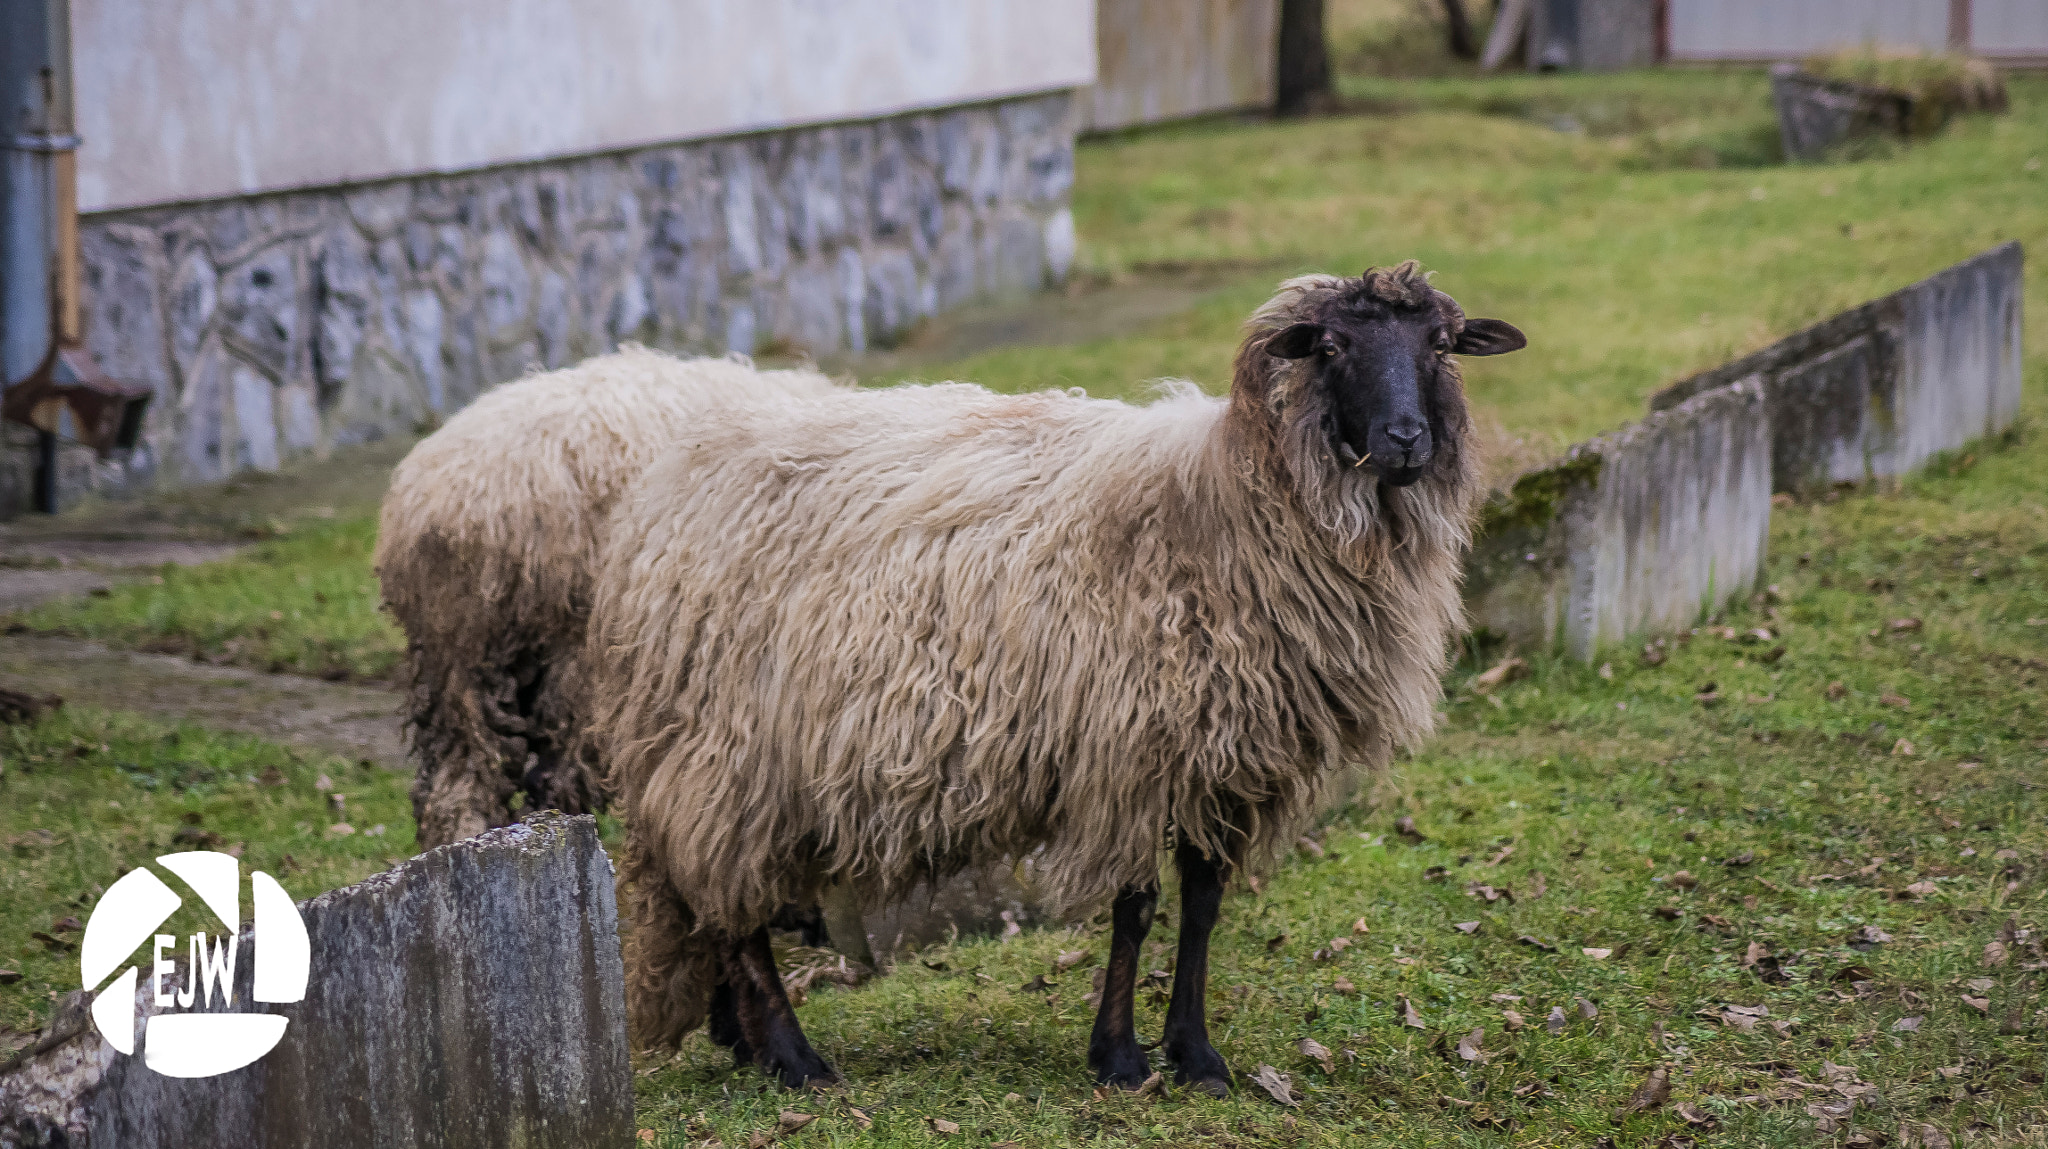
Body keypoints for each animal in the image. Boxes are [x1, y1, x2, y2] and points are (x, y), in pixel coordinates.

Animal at [587, 263, 1525, 1091]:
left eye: (1442, 344)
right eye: (1330, 346)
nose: (1406, 440)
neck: (1226, 508)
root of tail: (663, 488)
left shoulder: (1222, 758)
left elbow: (1204, 905)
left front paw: (1197, 1055)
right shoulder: (1130, 751)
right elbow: (1135, 907)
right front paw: (1119, 1058)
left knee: (708, 903)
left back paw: (744, 1042)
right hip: (726, 751)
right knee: (731, 906)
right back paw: (793, 1058)